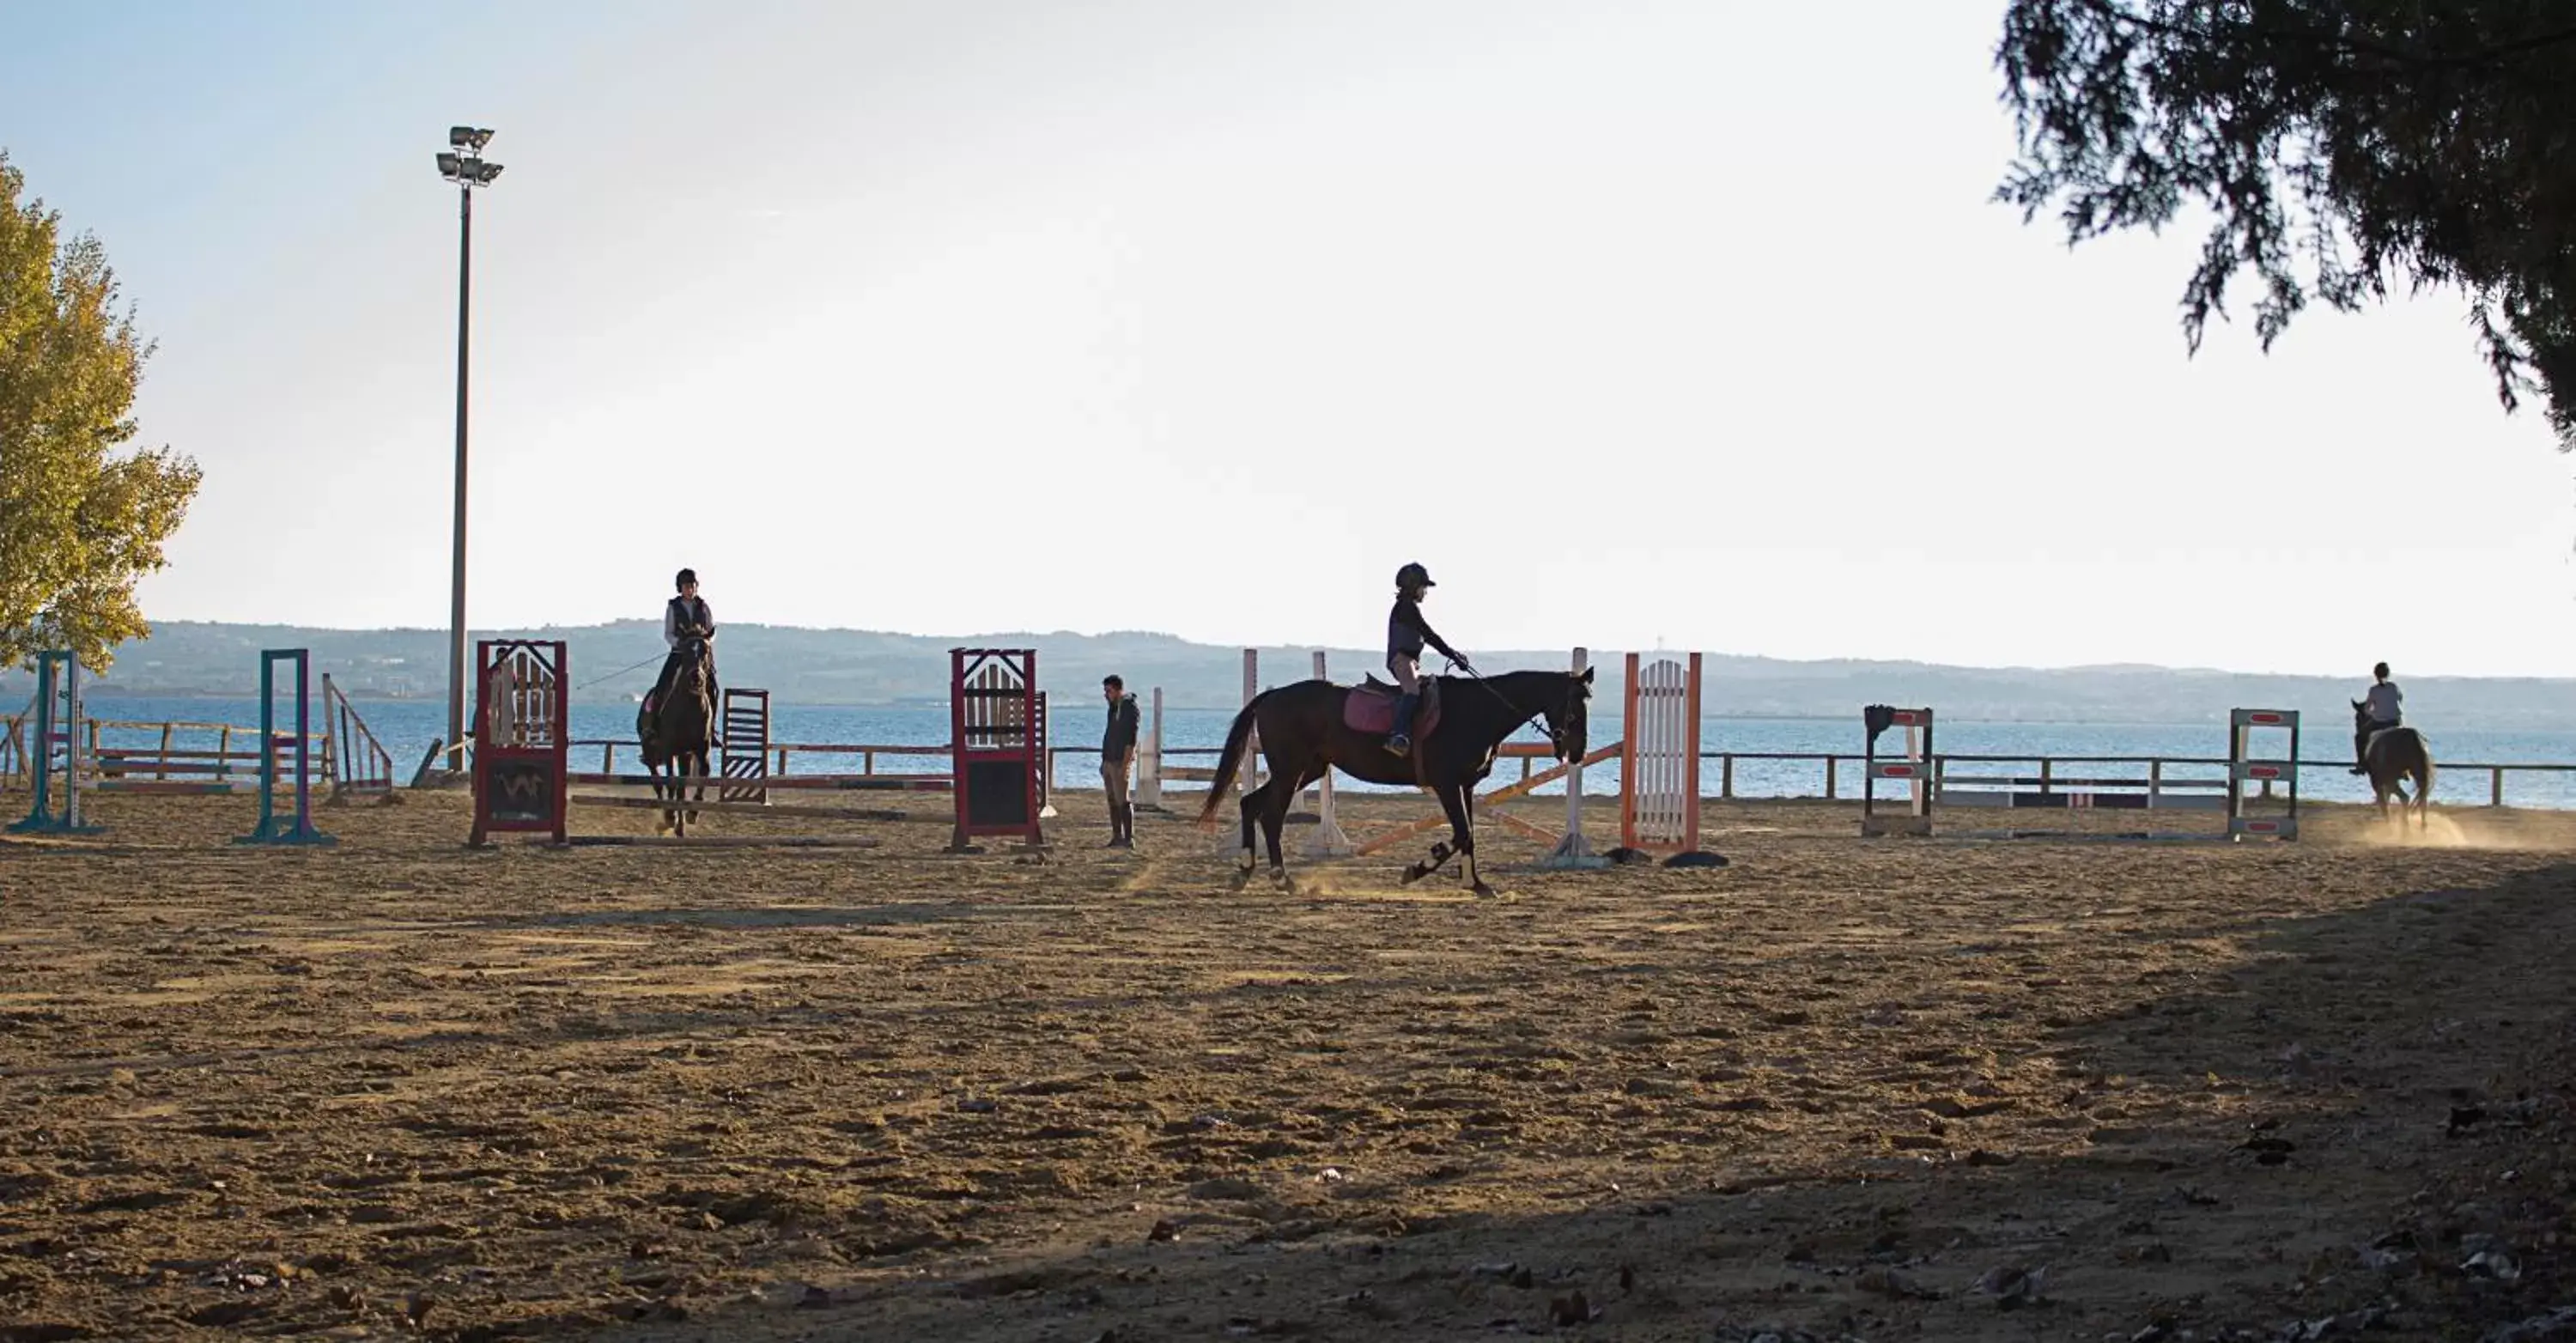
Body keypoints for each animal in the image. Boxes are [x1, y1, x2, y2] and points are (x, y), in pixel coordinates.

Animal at [641, 644, 716, 830]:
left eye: (706, 651)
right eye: (687, 651)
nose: (696, 678)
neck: (690, 706)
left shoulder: (702, 747)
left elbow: (704, 771)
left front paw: (693, 813)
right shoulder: (669, 748)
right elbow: (671, 779)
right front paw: (670, 815)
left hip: (685, 755)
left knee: (680, 788)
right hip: (650, 752)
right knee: (658, 783)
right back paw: (666, 814)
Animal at [1190, 665, 1587, 896]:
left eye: (1588, 702)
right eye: (1574, 706)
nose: (1578, 751)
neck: (1476, 711)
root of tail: (1272, 694)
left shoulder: (1465, 786)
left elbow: (1470, 835)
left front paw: (1475, 884)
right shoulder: (1446, 784)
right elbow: (1461, 834)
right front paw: (1418, 868)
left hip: (1307, 770)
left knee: (1251, 804)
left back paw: (1245, 872)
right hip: (1291, 770)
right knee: (1270, 815)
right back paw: (1281, 878)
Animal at [2360, 701, 2432, 824]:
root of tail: (2412, 736)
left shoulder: (2378, 781)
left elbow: (2383, 802)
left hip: (2390, 779)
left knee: (2405, 798)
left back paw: (2404, 827)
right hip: (2419, 773)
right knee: (2422, 799)